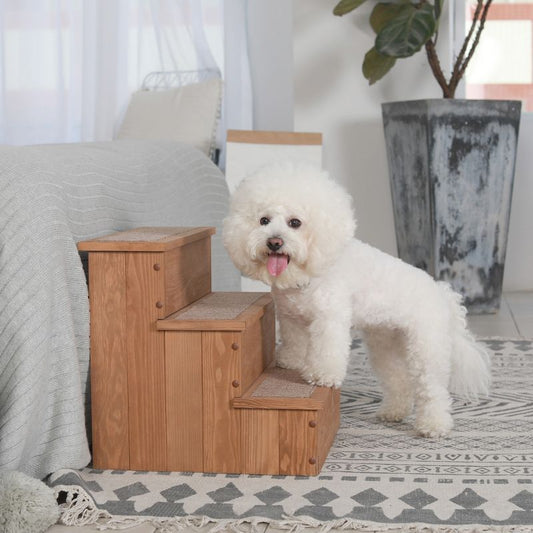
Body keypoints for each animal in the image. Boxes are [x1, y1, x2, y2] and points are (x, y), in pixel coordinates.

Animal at [221, 162, 490, 436]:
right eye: (263, 221)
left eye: (295, 222)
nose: (274, 242)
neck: (309, 274)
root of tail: (441, 293)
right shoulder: (291, 319)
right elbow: (295, 343)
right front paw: (290, 361)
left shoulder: (329, 319)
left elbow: (327, 351)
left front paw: (323, 375)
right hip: (386, 344)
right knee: (399, 380)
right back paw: (393, 412)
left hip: (426, 347)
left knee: (432, 389)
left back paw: (434, 425)